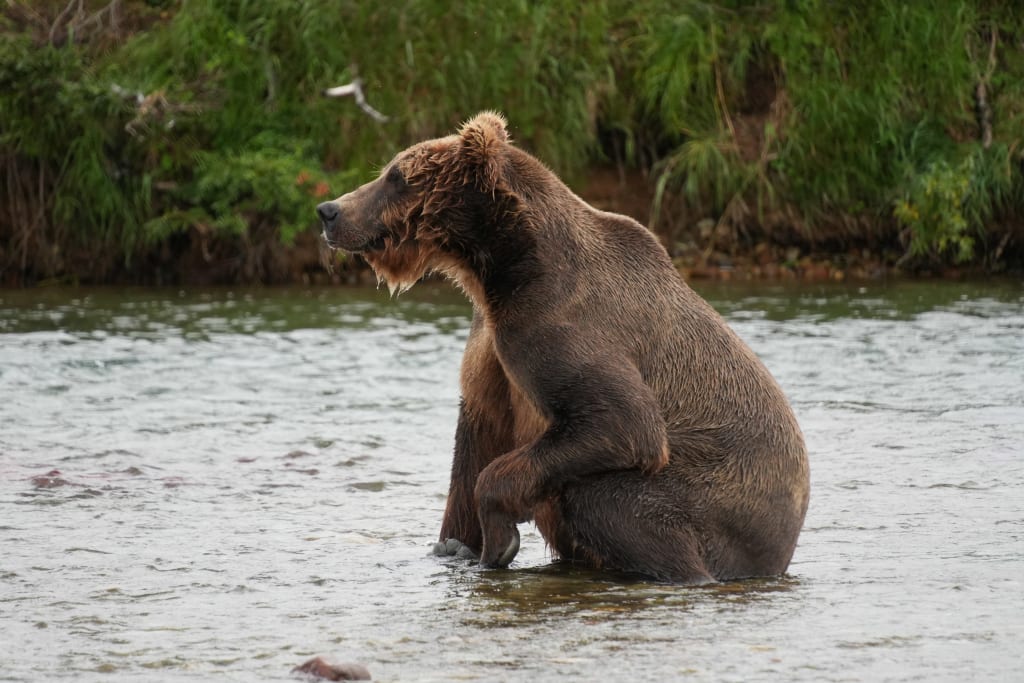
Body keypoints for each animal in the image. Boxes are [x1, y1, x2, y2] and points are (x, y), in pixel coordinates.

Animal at [316, 112, 809, 583]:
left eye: (396, 175)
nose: (329, 211)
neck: (502, 267)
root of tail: (783, 548)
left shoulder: (557, 324)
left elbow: (622, 418)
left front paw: (500, 541)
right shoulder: (489, 347)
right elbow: (475, 440)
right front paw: (454, 546)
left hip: (714, 495)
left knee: (606, 497)